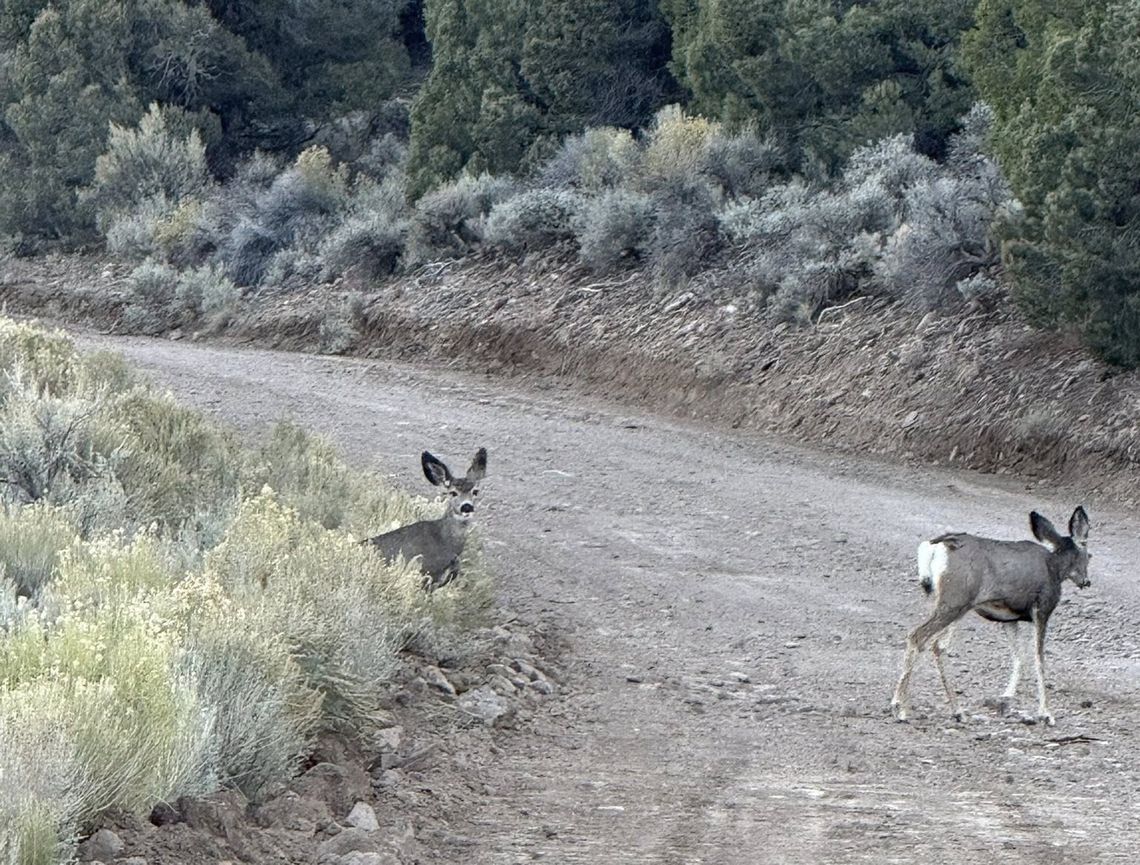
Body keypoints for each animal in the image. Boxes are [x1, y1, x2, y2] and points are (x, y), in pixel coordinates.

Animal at [890, 506, 1091, 726]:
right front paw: (1046, 713)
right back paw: (900, 708)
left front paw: (1006, 698)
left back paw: (957, 711)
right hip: (954, 600)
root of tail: (935, 547)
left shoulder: (1009, 619)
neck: (1055, 569)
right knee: (918, 636)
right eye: (1089, 555)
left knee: (938, 646)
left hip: (952, 604)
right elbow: (1039, 659)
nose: (1086, 581)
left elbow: (1019, 656)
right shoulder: (1042, 608)